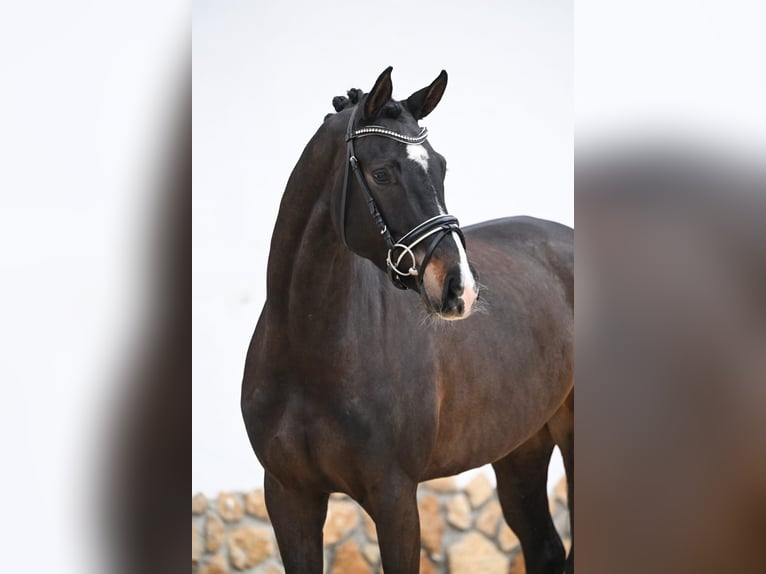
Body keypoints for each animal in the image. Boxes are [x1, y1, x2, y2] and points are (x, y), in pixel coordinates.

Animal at [241, 67, 574, 573]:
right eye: (382, 173)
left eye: (440, 167)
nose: (460, 288)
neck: (309, 352)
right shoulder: (288, 496)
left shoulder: (395, 497)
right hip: (523, 447)